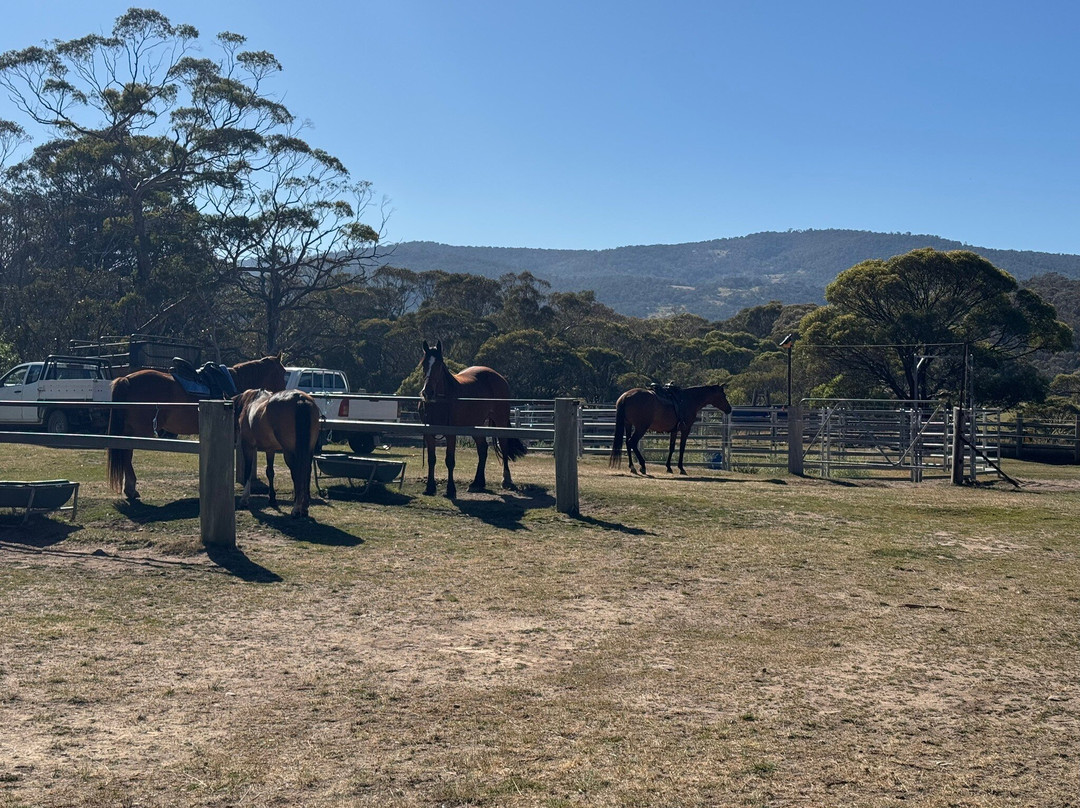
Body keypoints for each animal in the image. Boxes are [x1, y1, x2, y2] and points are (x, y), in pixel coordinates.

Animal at [107, 355, 288, 501]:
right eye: (284, 373)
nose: (281, 396)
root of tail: (126, 379)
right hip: (136, 430)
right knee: (126, 452)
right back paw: (131, 488)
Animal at [235, 388, 322, 518]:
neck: (250, 402)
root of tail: (300, 398)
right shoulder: (270, 449)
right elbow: (270, 472)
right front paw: (272, 499)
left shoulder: (248, 446)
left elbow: (248, 471)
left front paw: (244, 500)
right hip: (308, 450)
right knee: (306, 471)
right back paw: (304, 507)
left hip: (290, 452)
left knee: (297, 472)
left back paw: (296, 508)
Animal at [418, 339, 528, 498]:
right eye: (424, 364)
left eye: (439, 364)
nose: (427, 392)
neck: (441, 401)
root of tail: (499, 377)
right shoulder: (429, 433)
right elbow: (431, 459)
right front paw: (430, 488)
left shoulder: (451, 434)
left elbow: (450, 460)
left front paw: (450, 490)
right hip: (475, 426)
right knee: (483, 449)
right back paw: (477, 483)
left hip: (500, 421)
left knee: (504, 446)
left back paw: (506, 480)